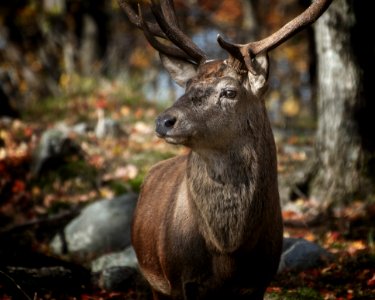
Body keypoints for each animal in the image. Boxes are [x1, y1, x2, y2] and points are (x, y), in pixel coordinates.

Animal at [119, 1, 332, 298]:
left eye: (230, 92)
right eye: (187, 86)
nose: (163, 121)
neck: (228, 254)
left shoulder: (261, 278)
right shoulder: (177, 278)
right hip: (152, 277)